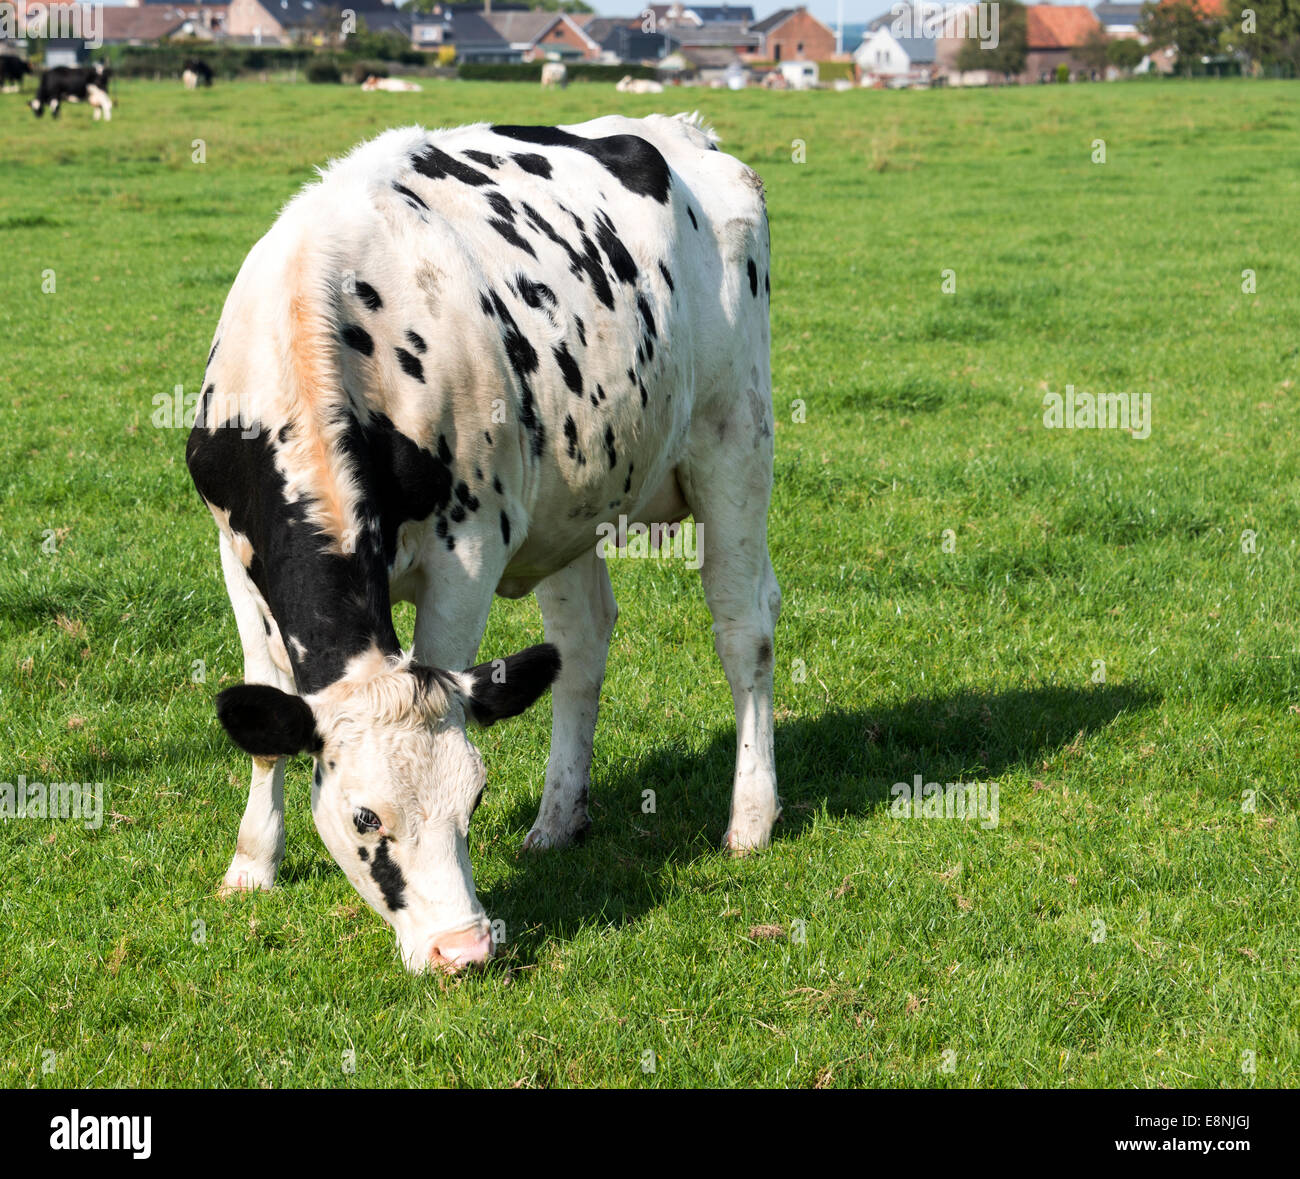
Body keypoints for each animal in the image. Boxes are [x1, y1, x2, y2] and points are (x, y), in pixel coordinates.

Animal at [186, 113, 779, 974]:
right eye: (365, 818)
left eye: (473, 795)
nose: (461, 948)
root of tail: (676, 130)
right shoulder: (235, 551)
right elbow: (267, 716)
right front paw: (252, 865)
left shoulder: (465, 554)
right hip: (574, 496)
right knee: (581, 643)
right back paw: (559, 819)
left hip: (734, 443)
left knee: (744, 630)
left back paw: (751, 818)